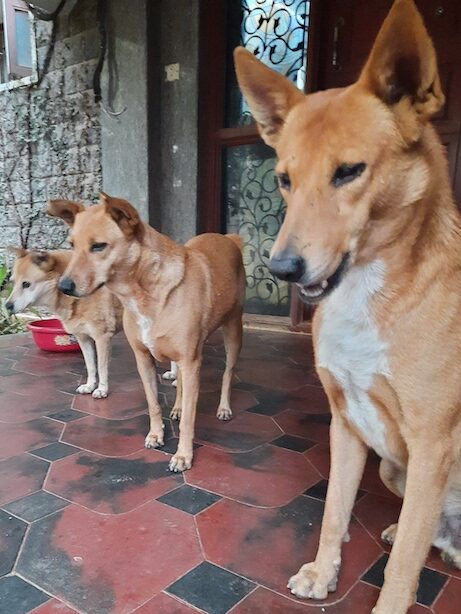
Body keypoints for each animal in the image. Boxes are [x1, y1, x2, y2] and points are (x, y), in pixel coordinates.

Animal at [6, 248, 122, 398]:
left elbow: (101, 367)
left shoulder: (102, 338)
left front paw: (102, 389)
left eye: (26, 284)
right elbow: (91, 366)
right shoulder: (83, 338)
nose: (7, 306)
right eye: (13, 282)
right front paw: (90, 386)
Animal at [47, 192, 244, 472]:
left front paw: (183, 455)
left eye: (99, 246)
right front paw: (156, 434)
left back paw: (224, 408)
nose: (63, 286)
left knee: (228, 373)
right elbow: (153, 403)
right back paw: (178, 407)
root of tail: (227, 238)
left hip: (233, 332)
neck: (143, 293)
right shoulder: (144, 359)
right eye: (71, 244)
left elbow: (190, 420)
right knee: (180, 380)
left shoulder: (191, 360)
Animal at [237, 1, 460, 614]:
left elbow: (403, 566)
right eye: (284, 179)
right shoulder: (347, 423)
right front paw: (322, 574)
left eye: (349, 171)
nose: (281, 269)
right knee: (426, 532)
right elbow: (335, 513)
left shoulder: (433, 446)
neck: (368, 292)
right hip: (390, 467)